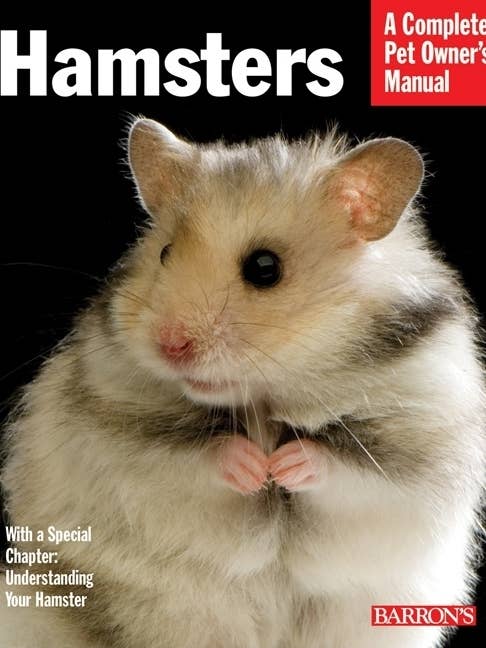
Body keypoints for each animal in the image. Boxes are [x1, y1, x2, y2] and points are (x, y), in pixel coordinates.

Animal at [0, 118, 484, 648]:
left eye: (264, 268)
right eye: (164, 252)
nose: (169, 345)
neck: (263, 397)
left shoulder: (419, 447)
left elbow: (347, 467)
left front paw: (283, 466)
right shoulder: (120, 437)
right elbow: (193, 457)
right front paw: (255, 469)